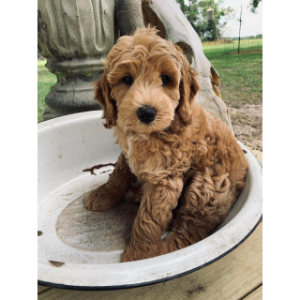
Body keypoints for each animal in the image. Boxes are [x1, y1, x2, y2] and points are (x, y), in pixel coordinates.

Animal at [85, 28, 248, 262]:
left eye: (165, 78)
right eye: (127, 79)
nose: (146, 112)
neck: (150, 134)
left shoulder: (165, 177)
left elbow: (149, 218)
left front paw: (139, 255)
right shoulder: (127, 153)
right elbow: (119, 173)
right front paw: (104, 194)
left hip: (206, 187)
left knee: (189, 232)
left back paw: (164, 250)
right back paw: (135, 192)